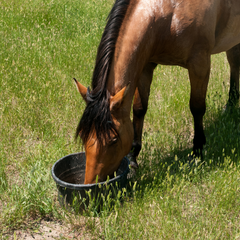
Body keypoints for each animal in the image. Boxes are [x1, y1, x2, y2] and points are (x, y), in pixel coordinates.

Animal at [74, 0, 240, 184]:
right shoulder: (145, 66)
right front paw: (133, 157)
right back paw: (230, 105)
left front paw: (197, 151)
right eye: (83, 136)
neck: (170, 13)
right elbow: (139, 109)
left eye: (113, 140)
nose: (91, 184)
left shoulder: (199, 64)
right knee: (234, 63)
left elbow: (197, 108)